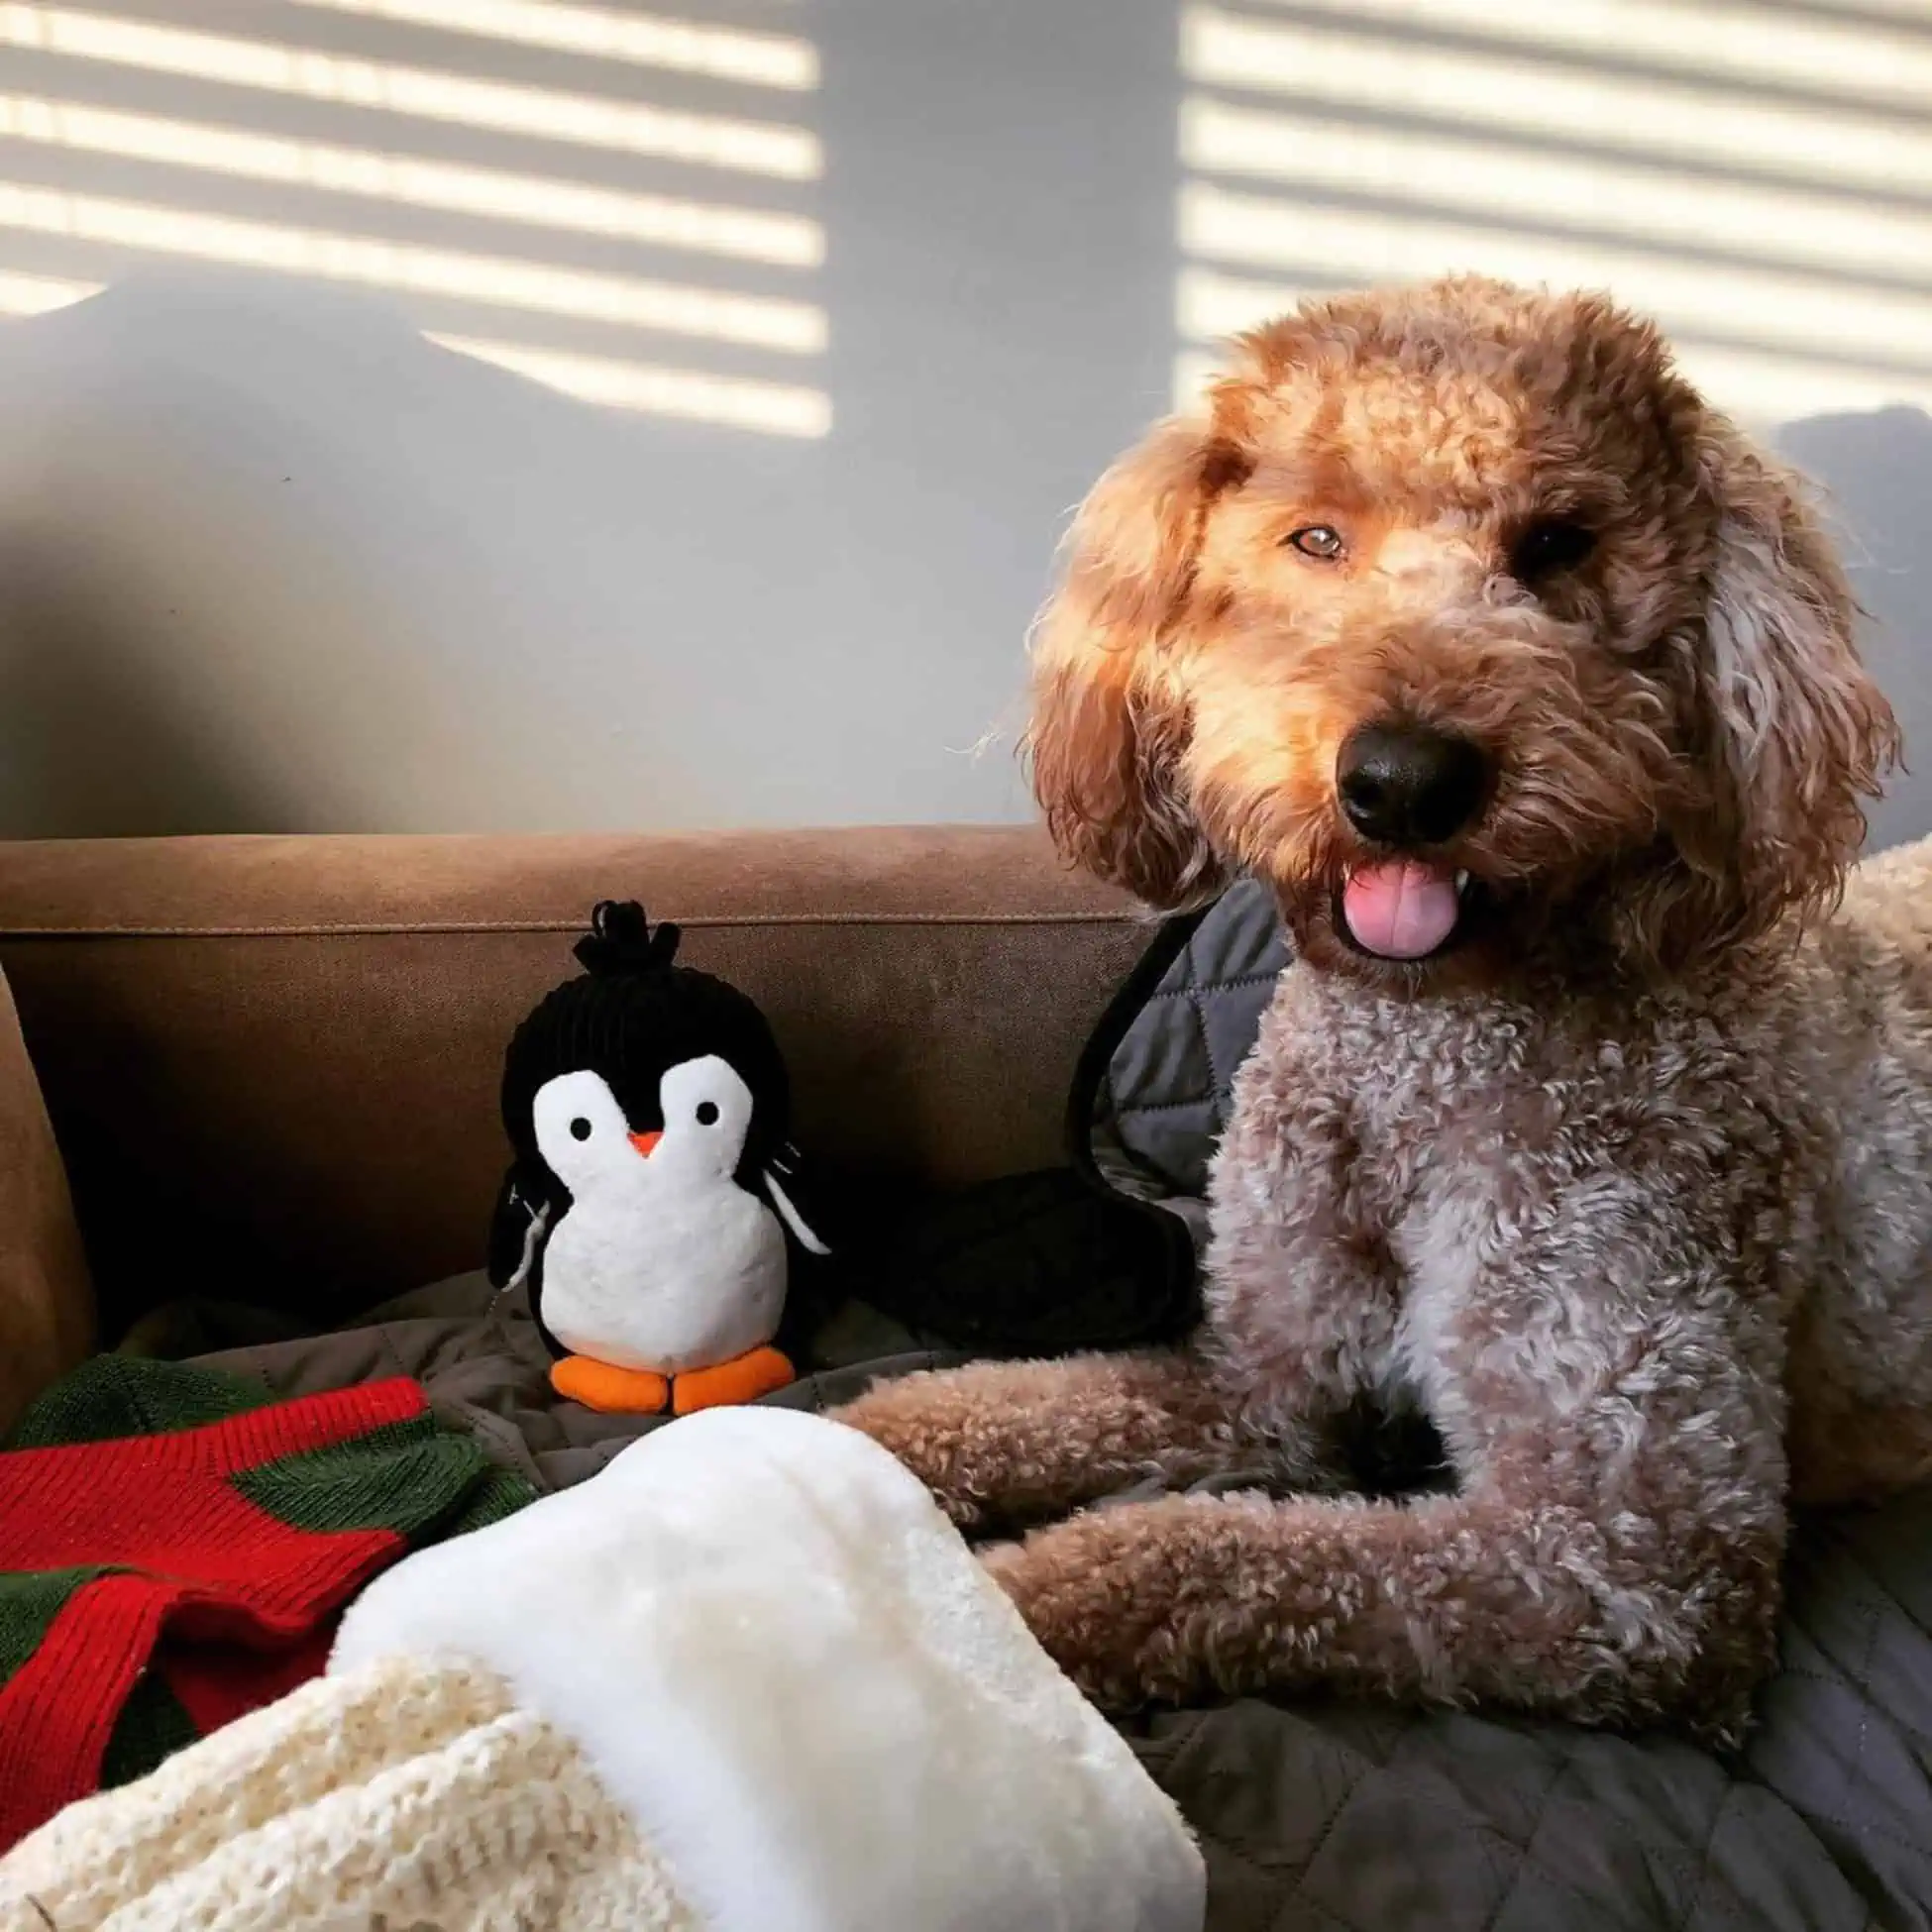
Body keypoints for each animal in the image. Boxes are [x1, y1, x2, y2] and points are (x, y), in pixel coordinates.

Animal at [842, 279, 1932, 1746]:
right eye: (1315, 538)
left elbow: (1207, 1552)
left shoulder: (1630, 1562)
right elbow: (1009, 1400)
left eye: (1558, 545)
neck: (1419, 1060)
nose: (1406, 780)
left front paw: (986, 1629)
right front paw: (834, 1447)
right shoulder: (1262, 1378)